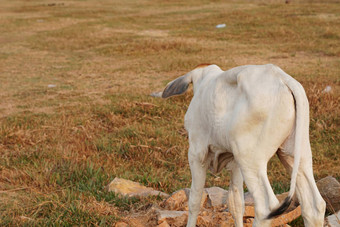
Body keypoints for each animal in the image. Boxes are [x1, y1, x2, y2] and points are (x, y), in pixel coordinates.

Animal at [162, 63, 326, 227]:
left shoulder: (196, 155)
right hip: (295, 154)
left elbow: (194, 200)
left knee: (266, 207)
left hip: (250, 160)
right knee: (314, 205)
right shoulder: (235, 163)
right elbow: (236, 204)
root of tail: (282, 78)